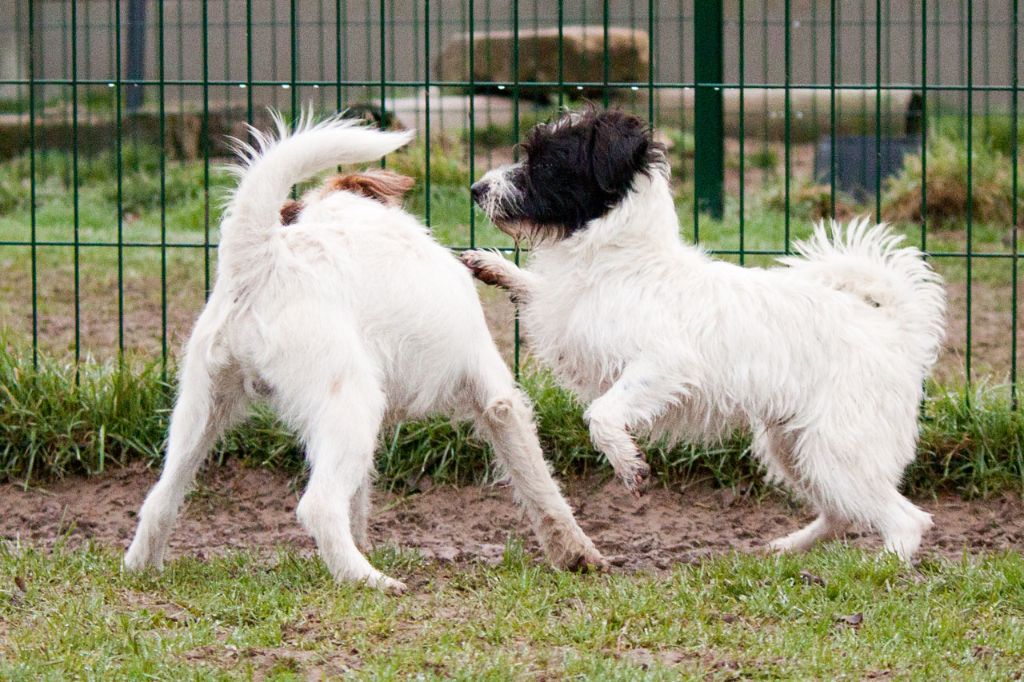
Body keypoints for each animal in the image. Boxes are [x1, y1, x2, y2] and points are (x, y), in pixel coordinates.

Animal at [124, 112, 604, 591]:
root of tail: (262, 258)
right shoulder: (497, 397)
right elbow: (538, 483)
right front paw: (576, 552)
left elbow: (357, 501)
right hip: (352, 403)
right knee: (318, 506)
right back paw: (367, 579)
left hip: (201, 412)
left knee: (160, 498)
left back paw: (142, 567)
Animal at [461, 108, 946, 561]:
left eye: (545, 163)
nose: (476, 189)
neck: (620, 259)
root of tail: (895, 332)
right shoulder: (560, 310)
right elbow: (533, 288)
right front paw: (492, 265)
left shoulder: (665, 366)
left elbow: (601, 413)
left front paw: (627, 463)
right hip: (794, 447)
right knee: (842, 514)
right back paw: (788, 550)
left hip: (838, 450)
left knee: (908, 519)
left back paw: (879, 568)